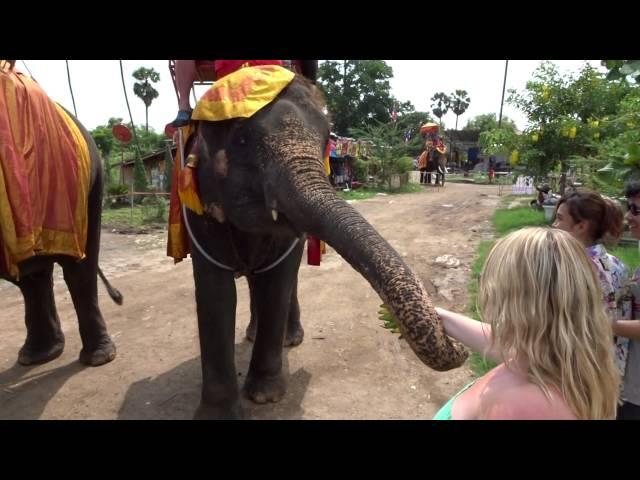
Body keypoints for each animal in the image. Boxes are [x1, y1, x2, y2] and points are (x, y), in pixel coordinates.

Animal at [178, 69, 468, 418]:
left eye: (326, 137)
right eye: (243, 140)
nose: (461, 345)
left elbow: (276, 284)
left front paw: (265, 397)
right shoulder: (197, 208)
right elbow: (215, 293)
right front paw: (221, 414)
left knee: (282, 280)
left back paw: (289, 339)